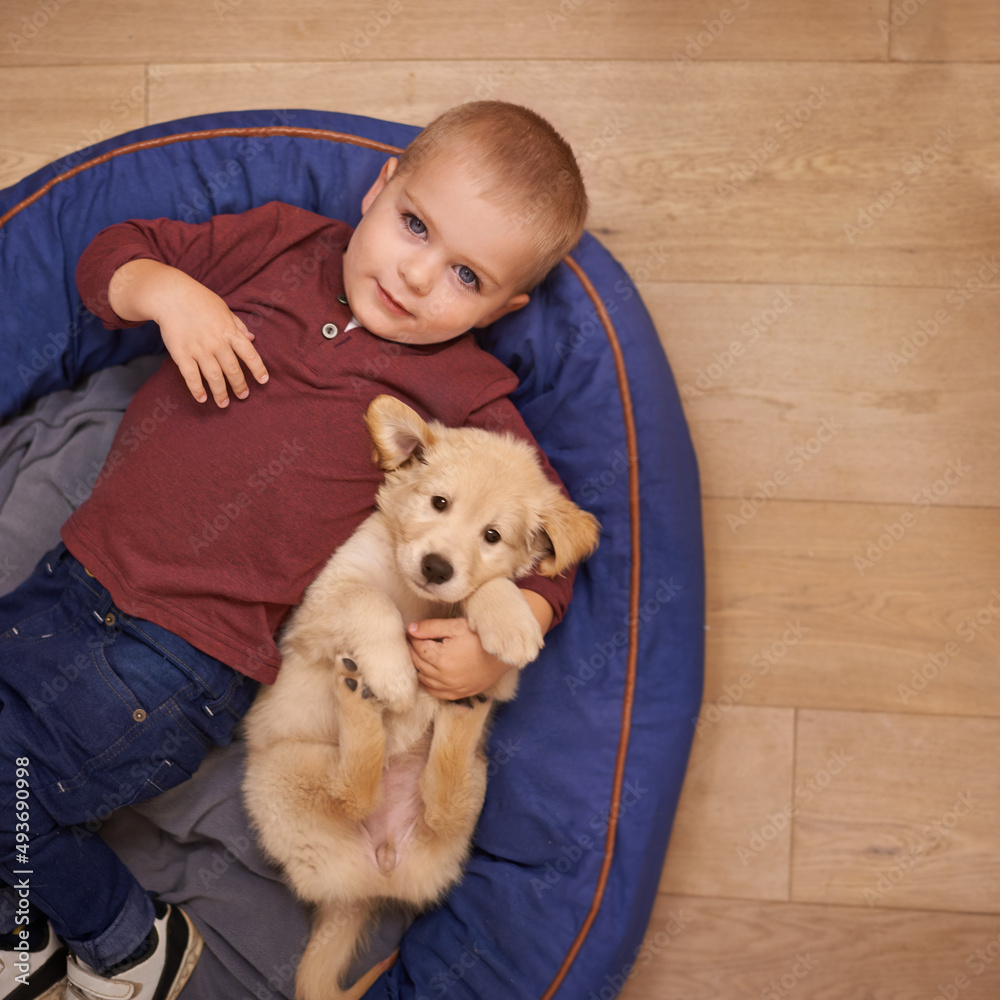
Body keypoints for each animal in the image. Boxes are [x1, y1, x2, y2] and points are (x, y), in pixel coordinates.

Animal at [243, 396, 596, 1000]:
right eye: (438, 502)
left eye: (492, 536)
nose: (436, 567)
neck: (419, 597)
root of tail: (371, 880)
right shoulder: (320, 607)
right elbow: (372, 603)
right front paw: (394, 676)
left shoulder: (500, 679)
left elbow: (488, 589)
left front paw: (509, 622)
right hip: (285, 770)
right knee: (351, 794)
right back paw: (361, 696)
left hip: (470, 788)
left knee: (438, 803)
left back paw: (455, 716)